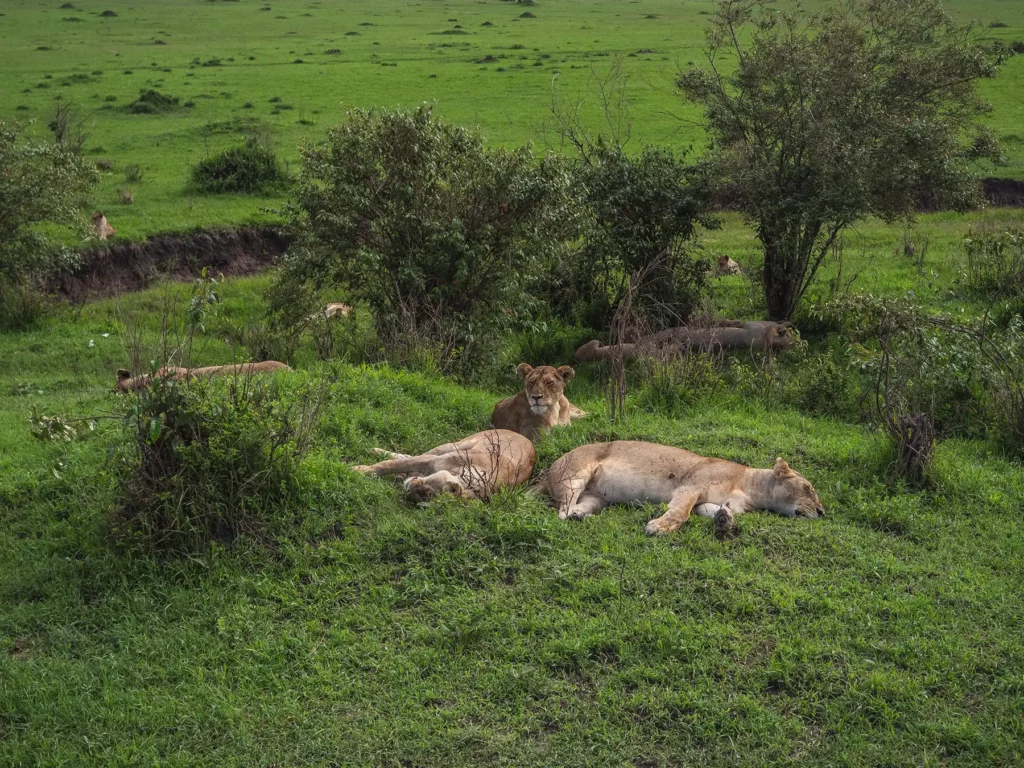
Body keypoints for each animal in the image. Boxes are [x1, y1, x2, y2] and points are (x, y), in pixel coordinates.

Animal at [353, 429, 536, 502]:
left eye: (425, 496)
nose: (412, 492)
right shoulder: (431, 460)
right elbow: (388, 464)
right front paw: (359, 471)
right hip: (455, 444)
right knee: (415, 455)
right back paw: (375, 450)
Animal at [543, 441, 824, 537]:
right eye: (808, 489)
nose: (822, 512)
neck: (751, 488)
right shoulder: (691, 486)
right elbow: (681, 513)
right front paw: (658, 527)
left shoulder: (707, 502)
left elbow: (708, 511)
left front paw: (725, 520)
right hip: (574, 476)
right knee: (560, 512)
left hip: (597, 498)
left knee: (575, 509)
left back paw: (582, 516)